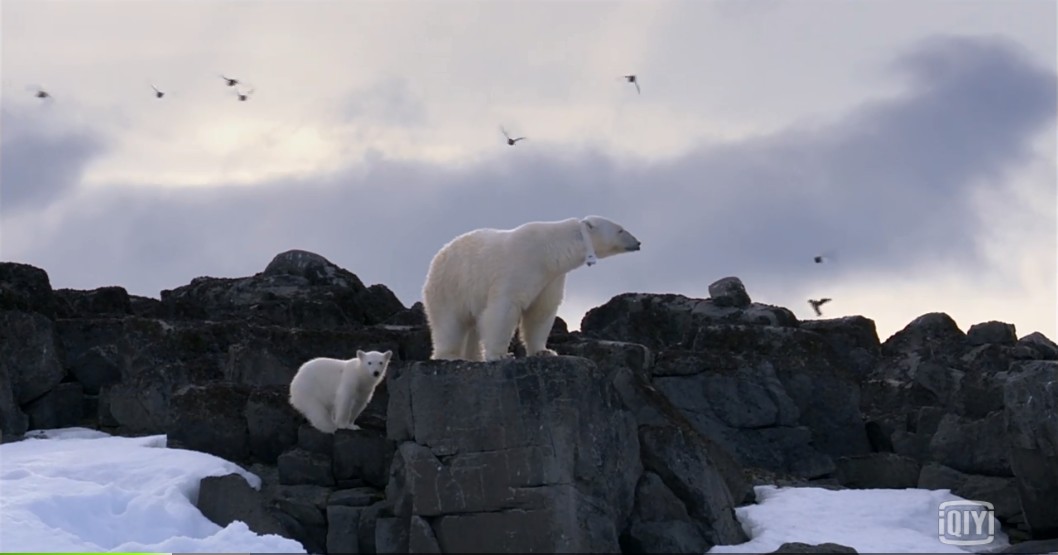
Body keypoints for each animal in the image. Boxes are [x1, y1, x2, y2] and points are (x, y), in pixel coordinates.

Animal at [422, 216, 641, 362]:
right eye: (620, 229)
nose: (638, 242)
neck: (548, 251)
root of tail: (438, 255)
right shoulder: (519, 267)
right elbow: (503, 310)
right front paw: (501, 355)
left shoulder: (551, 278)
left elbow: (541, 311)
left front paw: (545, 351)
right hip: (451, 285)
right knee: (449, 323)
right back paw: (449, 355)